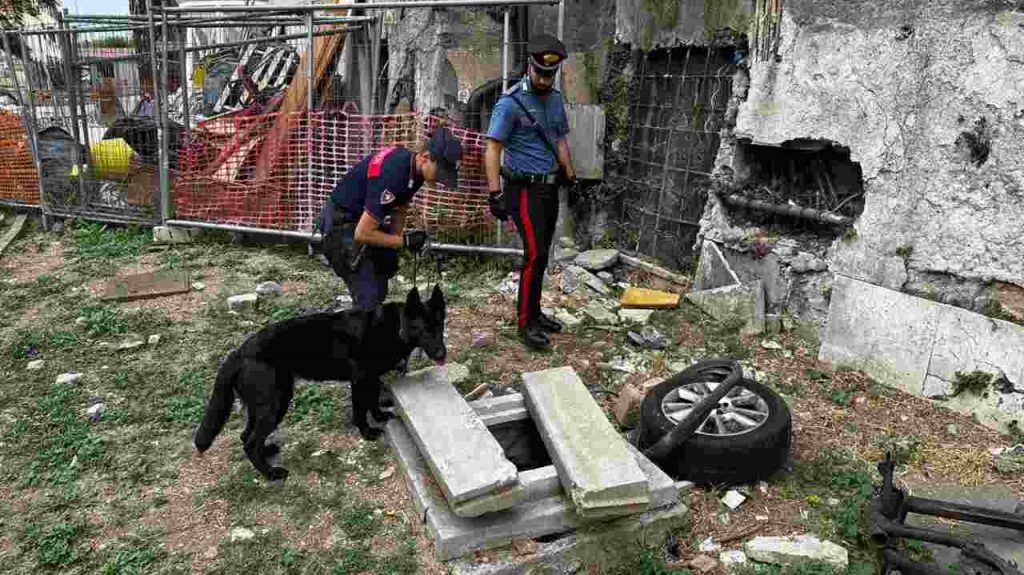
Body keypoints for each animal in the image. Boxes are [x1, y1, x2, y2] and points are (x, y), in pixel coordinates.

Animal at [193, 284, 446, 478]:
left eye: (440, 326)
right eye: (424, 330)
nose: (443, 354)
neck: (397, 328)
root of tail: (238, 352)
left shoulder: (371, 379)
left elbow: (373, 401)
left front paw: (380, 416)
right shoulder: (360, 380)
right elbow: (360, 409)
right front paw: (366, 432)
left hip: (263, 406)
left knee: (246, 436)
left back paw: (268, 453)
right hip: (277, 403)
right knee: (250, 442)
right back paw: (271, 473)